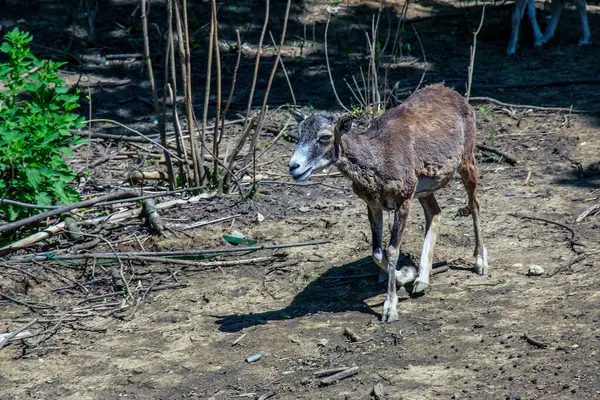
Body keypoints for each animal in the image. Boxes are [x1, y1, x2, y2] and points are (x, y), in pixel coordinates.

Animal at [288, 83, 490, 324]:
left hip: (467, 161)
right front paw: (407, 274)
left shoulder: (403, 201)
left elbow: (393, 250)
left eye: (325, 136)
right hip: (424, 190)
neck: (378, 158)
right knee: (434, 213)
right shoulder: (374, 206)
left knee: (474, 204)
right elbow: (377, 252)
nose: (294, 167)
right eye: (299, 134)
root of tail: (454, 94)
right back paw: (421, 281)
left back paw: (480, 264)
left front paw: (389, 310)